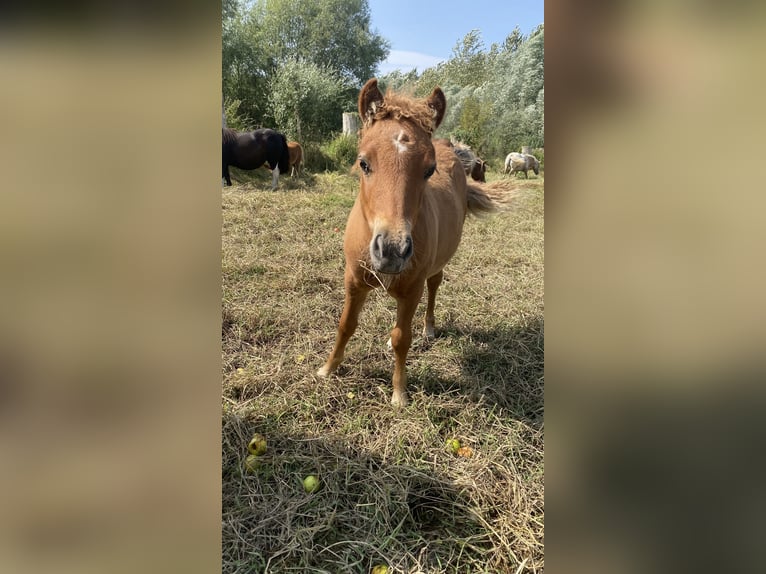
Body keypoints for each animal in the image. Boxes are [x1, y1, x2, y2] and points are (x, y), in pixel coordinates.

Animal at [318, 79, 516, 408]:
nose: (391, 251)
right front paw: (328, 368)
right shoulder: (353, 280)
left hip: (436, 267)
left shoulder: (412, 289)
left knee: (433, 288)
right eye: (363, 163)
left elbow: (403, 338)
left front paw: (399, 394)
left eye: (429, 169)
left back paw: (429, 327)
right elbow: (346, 324)